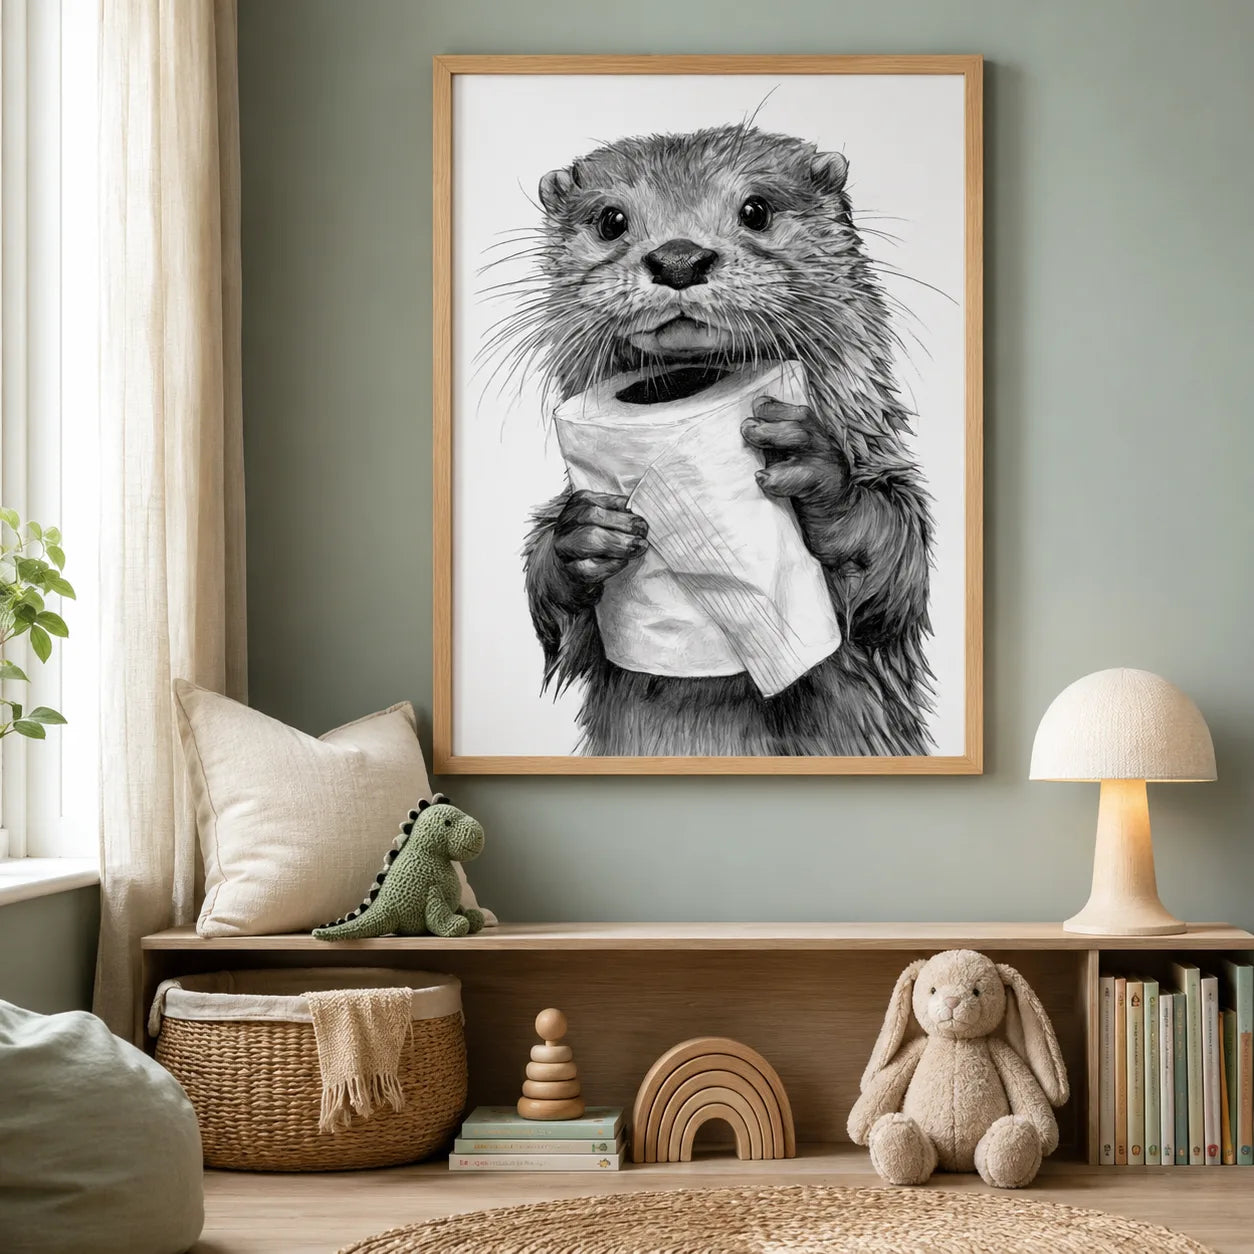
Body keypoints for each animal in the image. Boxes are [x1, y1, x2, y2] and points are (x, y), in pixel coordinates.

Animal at [516, 124, 934, 757]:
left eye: (755, 209)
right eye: (611, 219)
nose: (679, 257)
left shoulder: (882, 468)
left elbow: (894, 564)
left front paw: (814, 468)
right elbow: (564, 628)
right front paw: (581, 535)